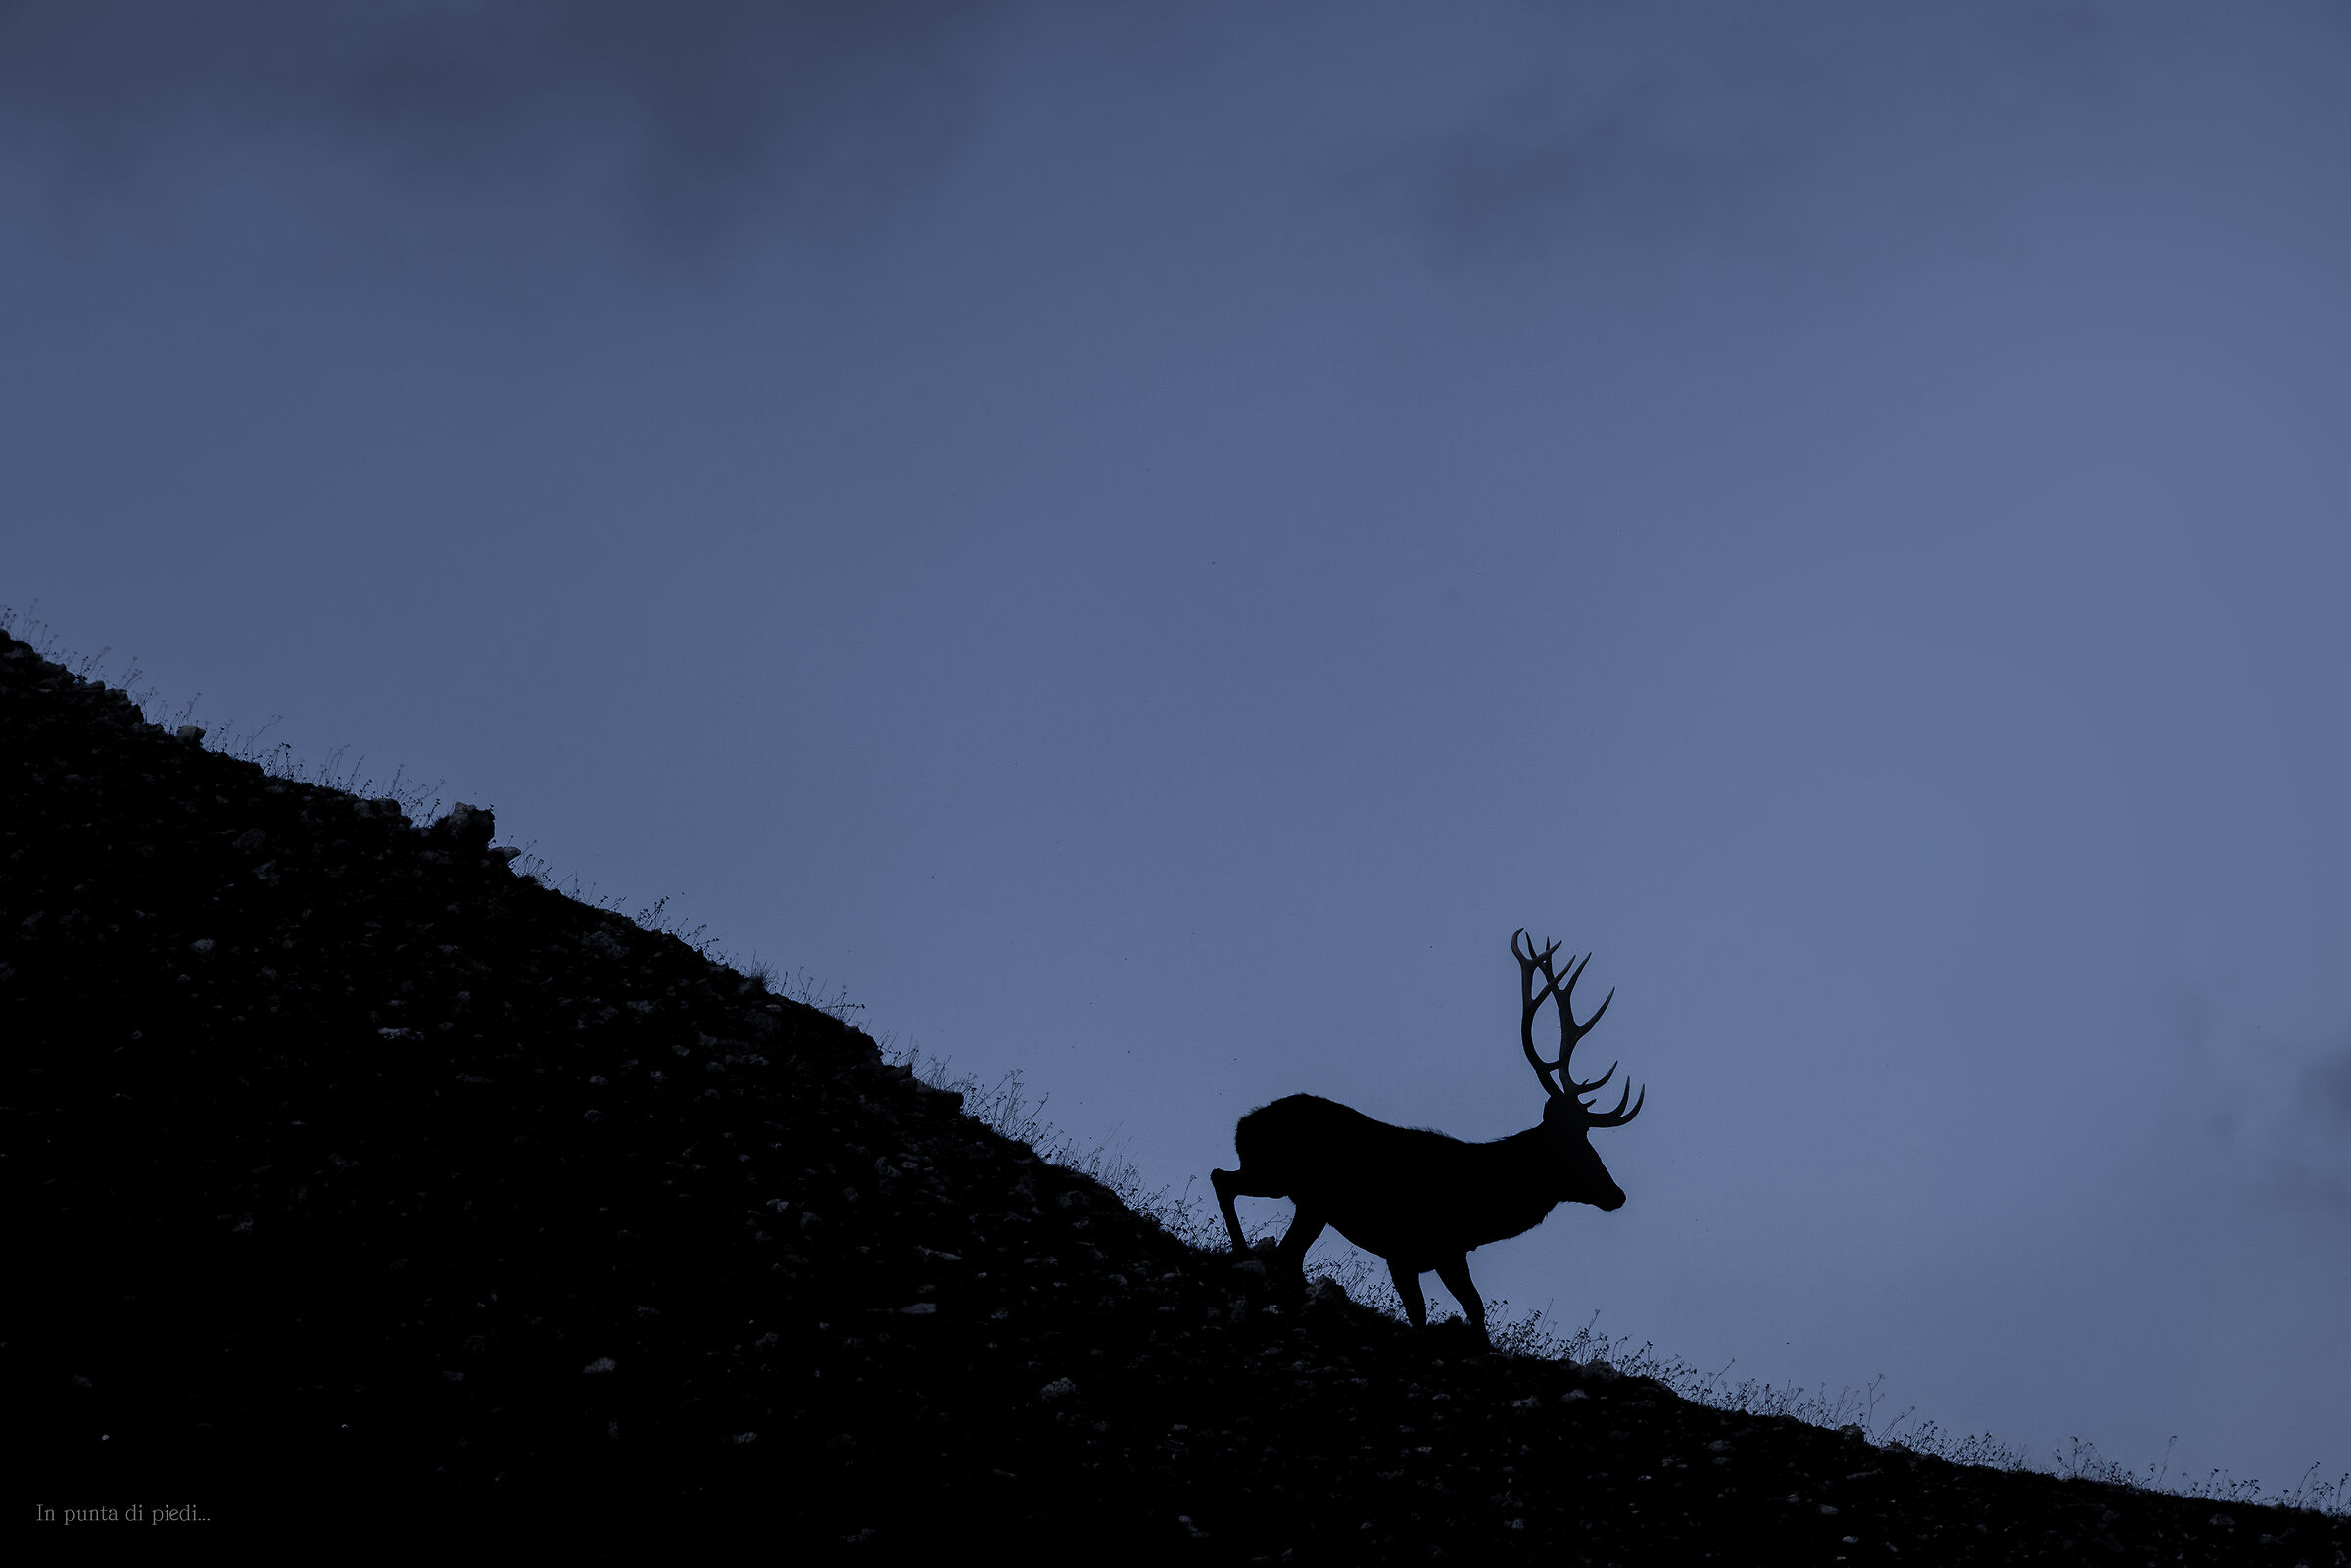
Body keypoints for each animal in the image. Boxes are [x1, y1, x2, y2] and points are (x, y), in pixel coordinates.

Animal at [1209, 930, 1644, 1342]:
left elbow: (1475, 1308)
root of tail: (1244, 1123)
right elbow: (1421, 1315)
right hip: (1279, 1177)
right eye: (1573, 1146)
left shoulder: (1448, 1252)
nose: (1617, 1194)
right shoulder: (1402, 1248)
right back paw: (1241, 1252)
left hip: (1307, 1201)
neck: (1481, 1210)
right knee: (1223, 1181)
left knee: (1284, 1249)